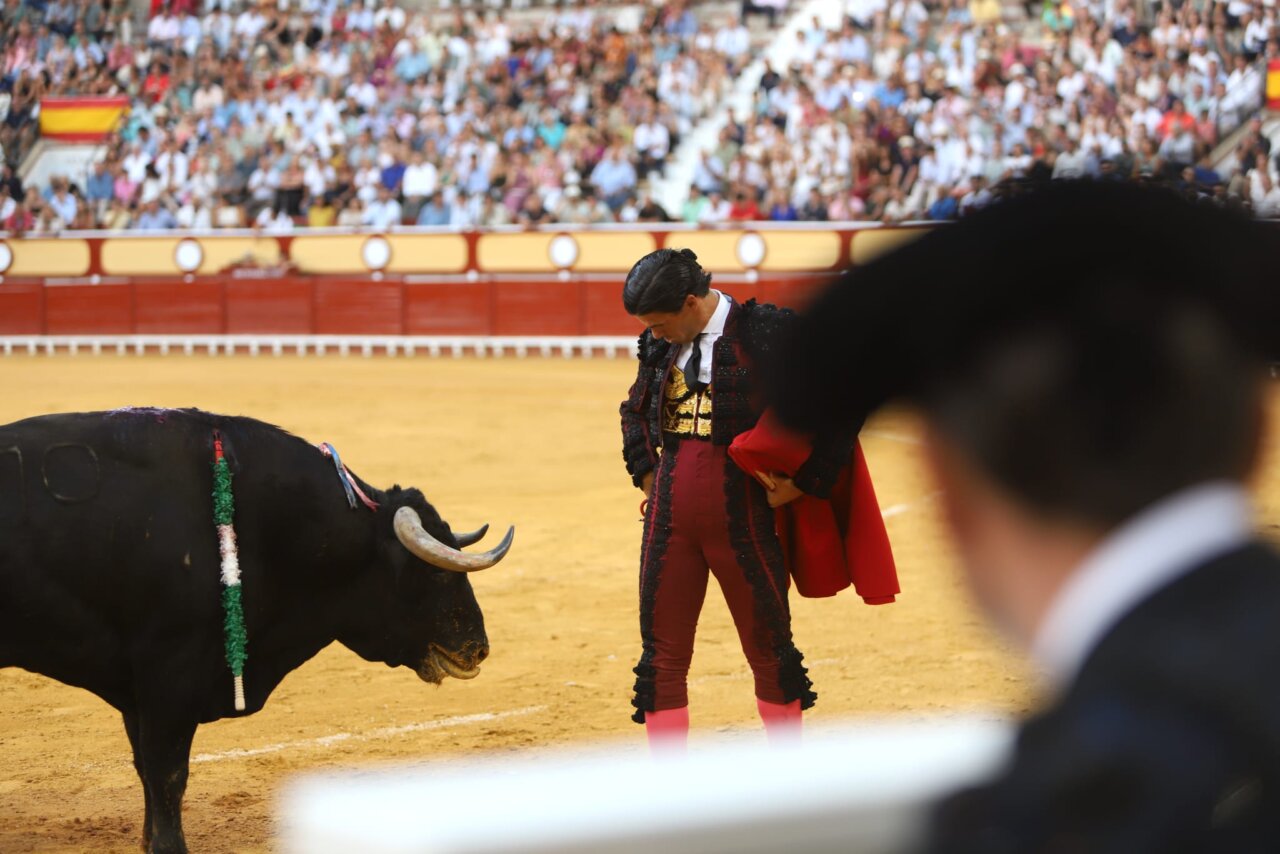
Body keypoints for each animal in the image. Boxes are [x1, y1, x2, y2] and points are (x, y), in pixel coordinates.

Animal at [0, 408, 513, 854]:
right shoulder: (169, 673)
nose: (478, 648)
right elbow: (167, 774)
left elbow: (146, 768)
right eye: (436, 573)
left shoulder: (139, 687)